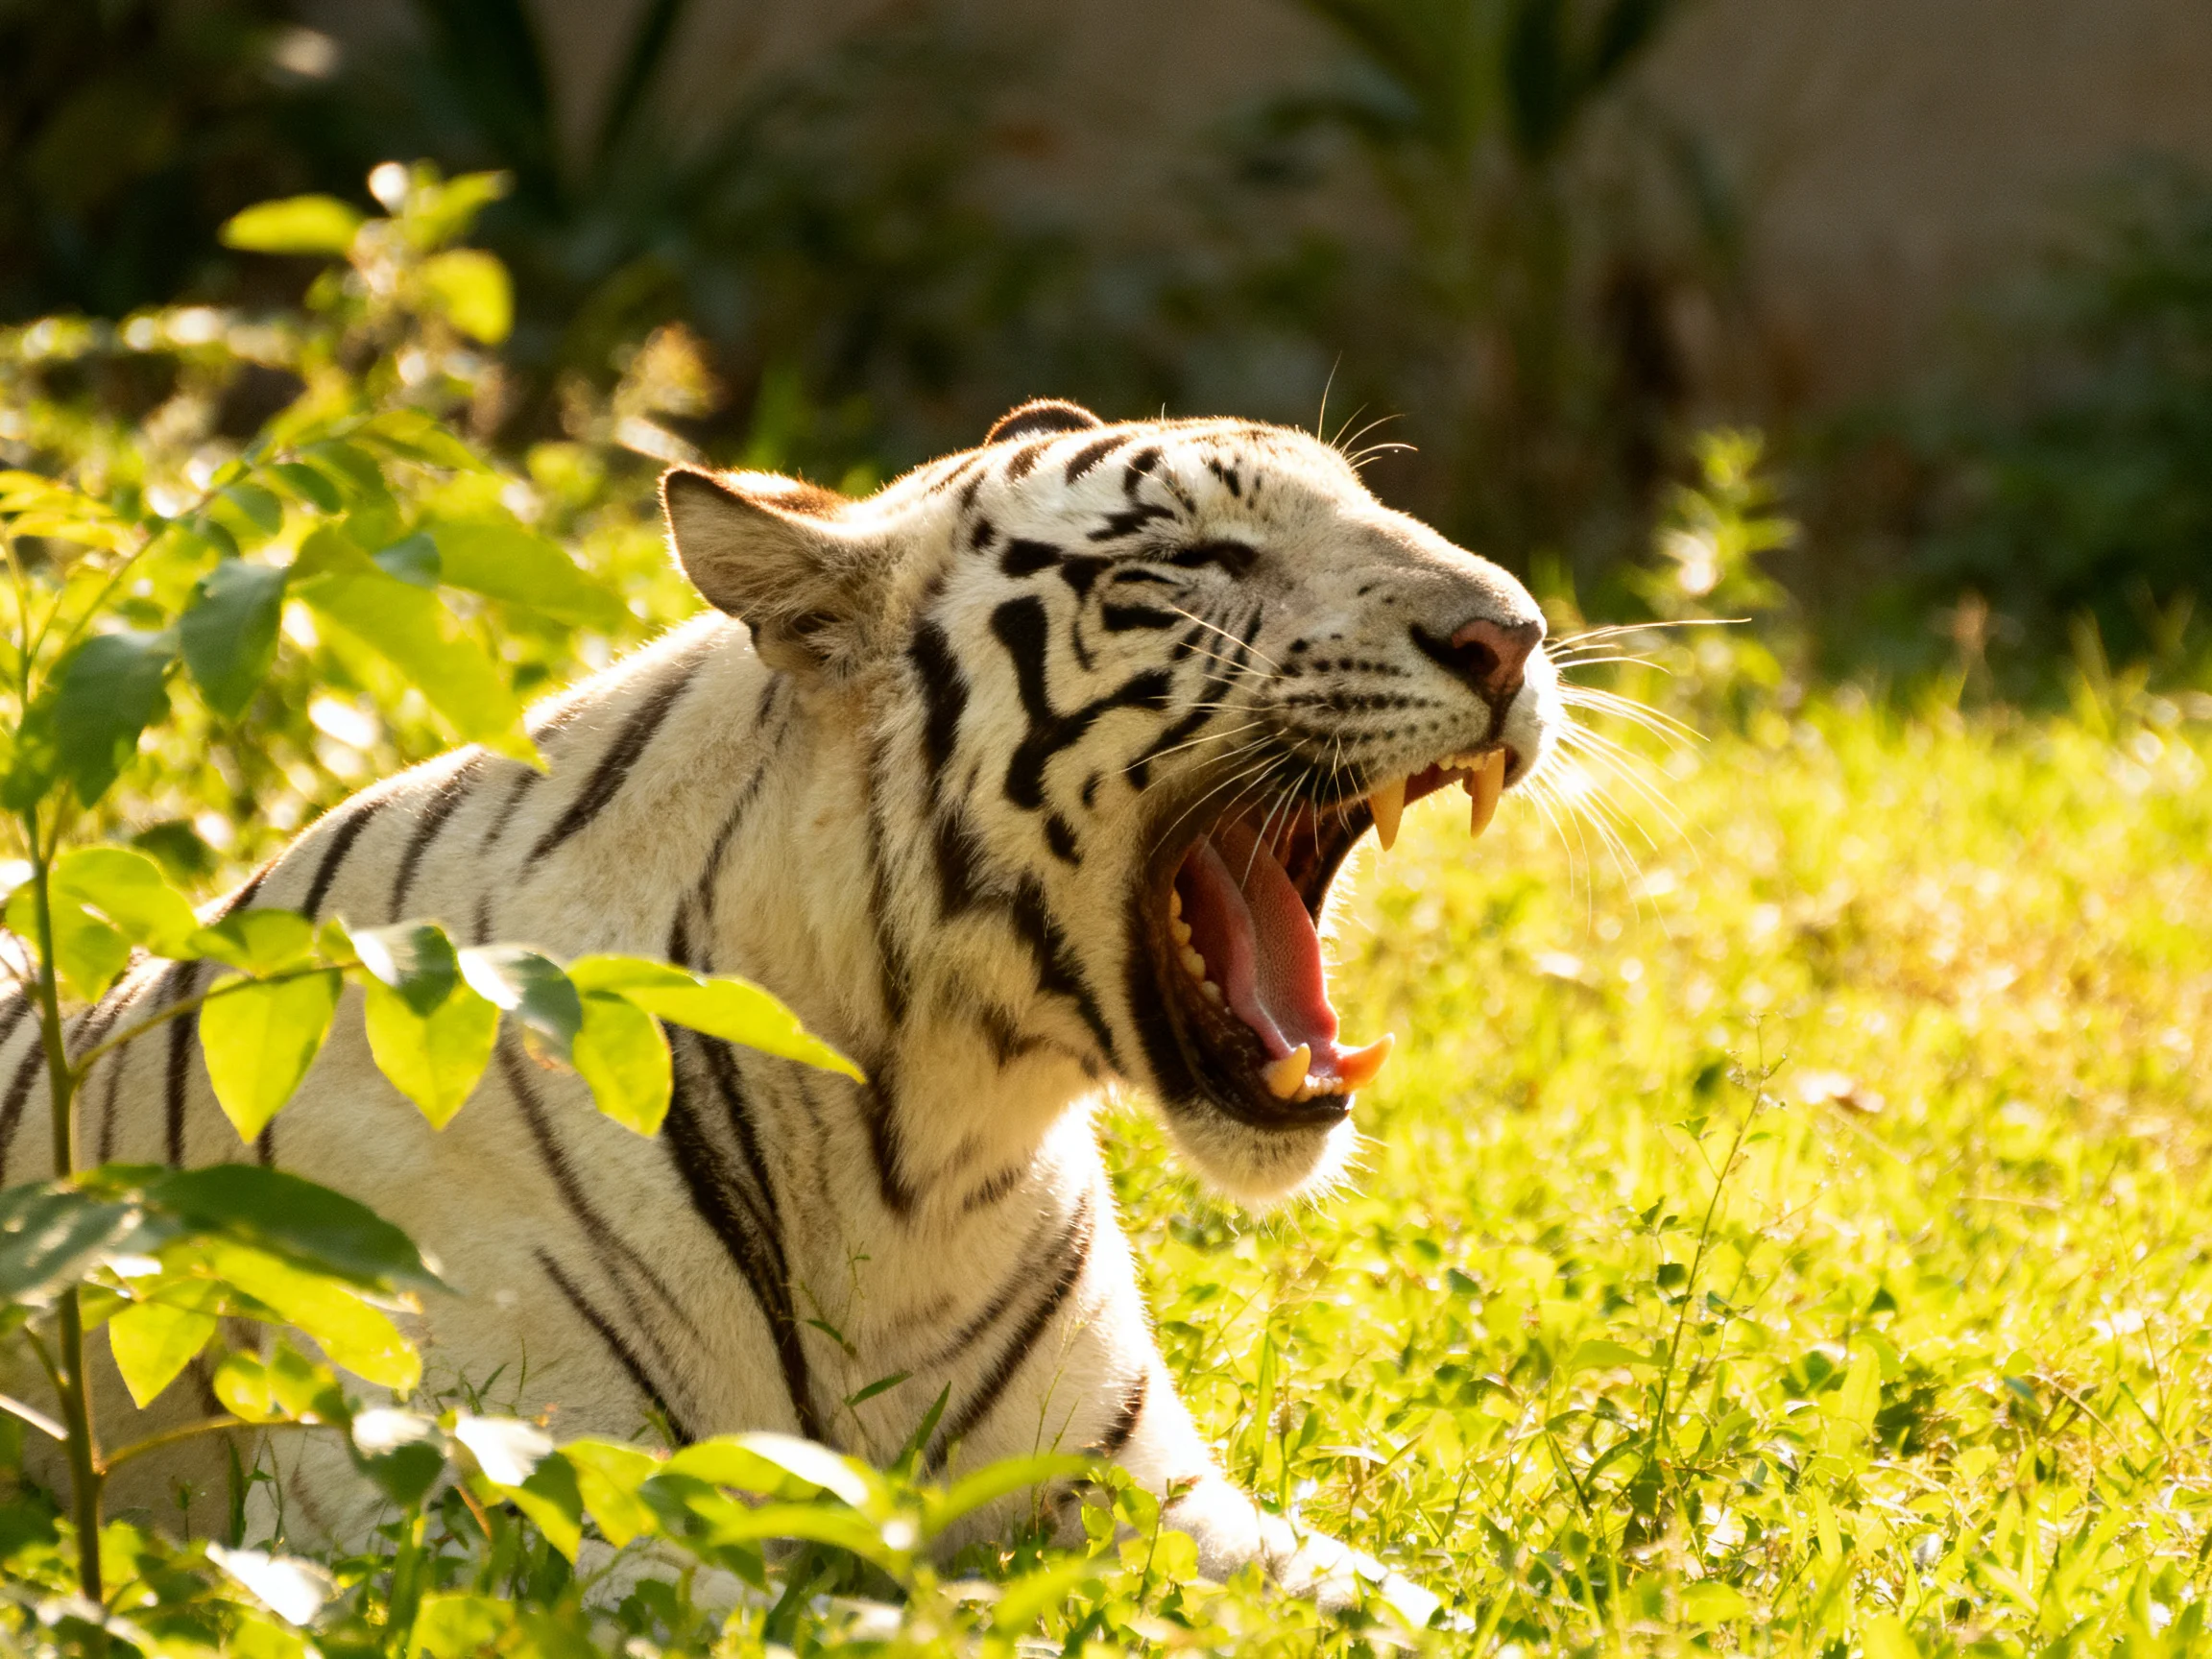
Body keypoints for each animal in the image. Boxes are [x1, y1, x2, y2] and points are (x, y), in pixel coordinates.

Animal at [3, 399, 1557, 1623]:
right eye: (1190, 559)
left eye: (1375, 501)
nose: (1513, 634)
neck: (927, 1148)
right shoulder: (487, 1507)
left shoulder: (1151, 1490)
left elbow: (1434, 1616)